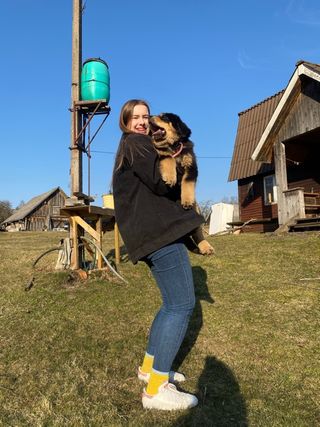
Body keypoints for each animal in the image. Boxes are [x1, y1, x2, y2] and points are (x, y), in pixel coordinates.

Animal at [149, 112, 214, 256]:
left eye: (164, 117)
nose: (148, 117)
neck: (173, 146)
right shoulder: (162, 155)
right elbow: (168, 158)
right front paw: (170, 177)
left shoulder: (191, 166)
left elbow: (187, 183)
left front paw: (187, 200)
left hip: (197, 211)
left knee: (198, 232)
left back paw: (205, 247)